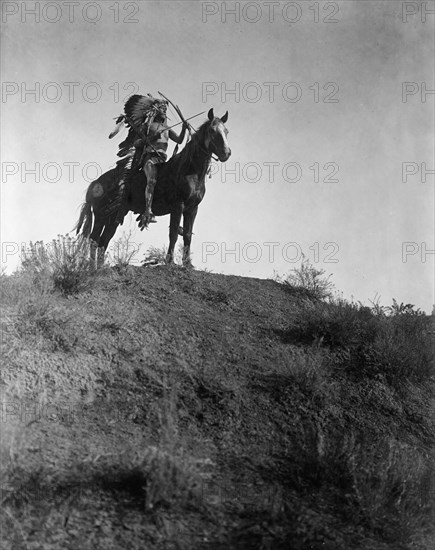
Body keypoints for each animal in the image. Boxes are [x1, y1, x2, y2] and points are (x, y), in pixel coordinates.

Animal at [75, 109, 232, 268]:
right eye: (212, 130)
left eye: (226, 131)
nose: (226, 153)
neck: (189, 170)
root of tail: (95, 183)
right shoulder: (178, 206)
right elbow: (173, 233)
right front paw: (170, 261)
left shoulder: (192, 208)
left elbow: (187, 235)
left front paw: (188, 264)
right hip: (101, 215)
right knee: (94, 239)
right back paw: (92, 268)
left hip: (113, 217)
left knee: (103, 241)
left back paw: (100, 267)